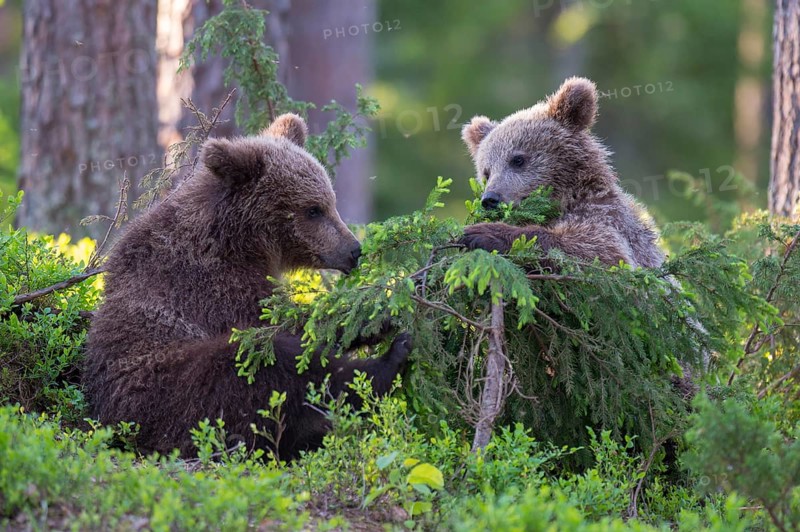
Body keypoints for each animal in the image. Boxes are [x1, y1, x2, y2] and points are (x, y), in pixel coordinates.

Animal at [83, 113, 412, 460]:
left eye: (330, 202)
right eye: (313, 209)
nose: (354, 250)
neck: (240, 240)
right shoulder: (213, 285)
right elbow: (286, 325)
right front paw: (380, 310)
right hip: (166, 390)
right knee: (266, 366)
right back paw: (385, 366)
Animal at [459, 77, 664, 269]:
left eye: (517, 160)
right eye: (486, 173)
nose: (490, 199)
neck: (566, 199)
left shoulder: (607, 217)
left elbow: (602, 252)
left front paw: (481, 233)